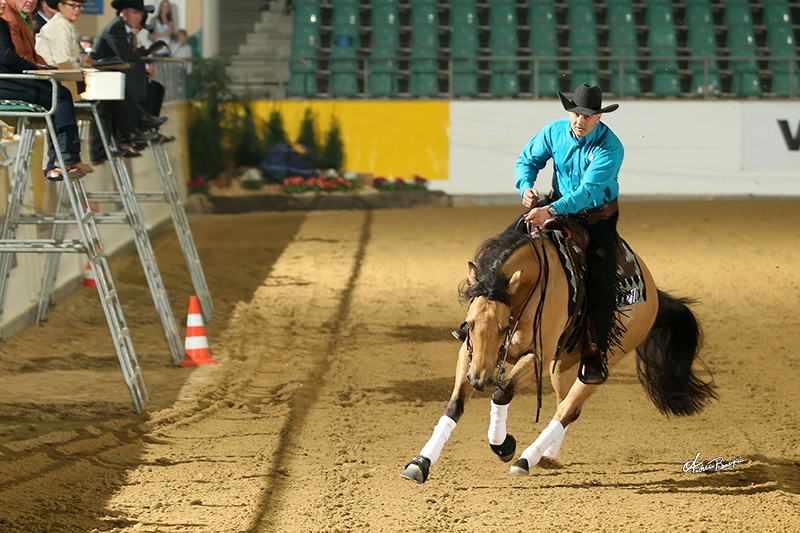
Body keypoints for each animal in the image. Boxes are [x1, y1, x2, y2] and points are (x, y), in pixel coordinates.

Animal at [400, 218, 720, 484]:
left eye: (504, 326)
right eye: (469, 323)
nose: (479, 380)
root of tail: (653, 291)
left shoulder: (537, 358)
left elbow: (502, 393)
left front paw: (504, 445)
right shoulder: (470, 355)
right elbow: (455, 405)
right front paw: (421, 462)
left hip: (597, 366)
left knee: (567, 409)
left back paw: (527, 458)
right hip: (562, 366)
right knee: (569, 408)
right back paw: (547, 456)